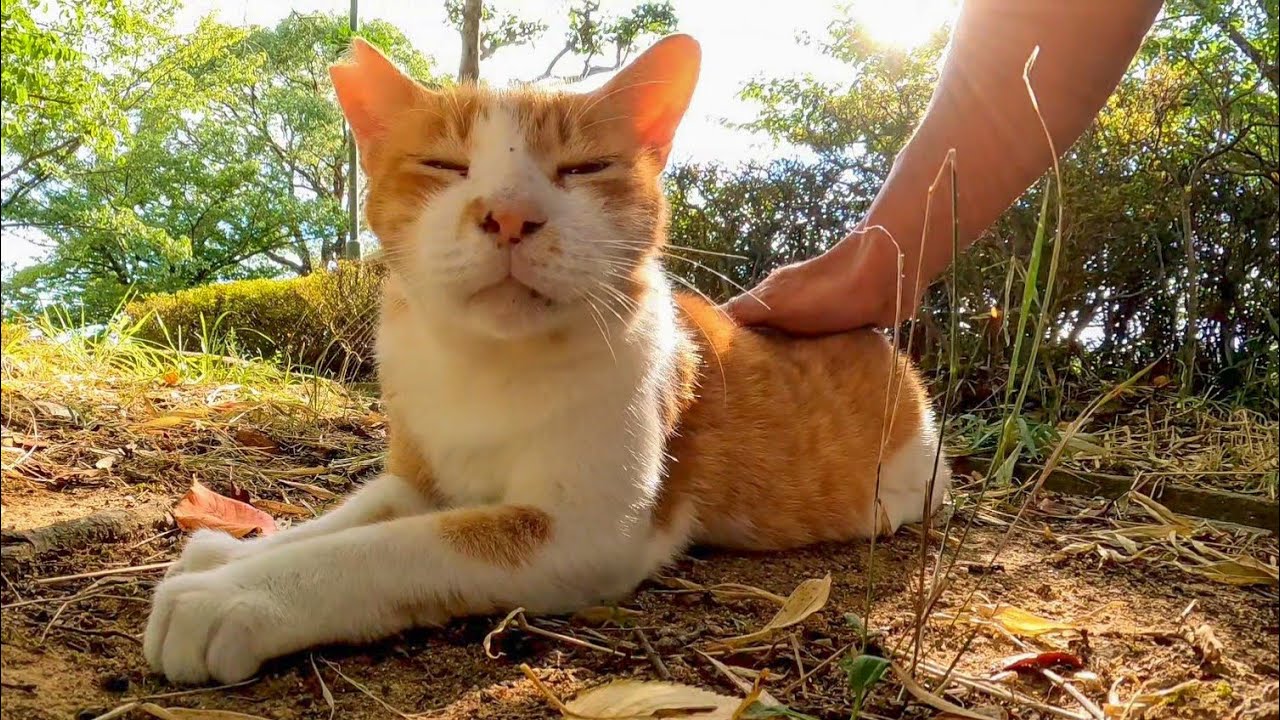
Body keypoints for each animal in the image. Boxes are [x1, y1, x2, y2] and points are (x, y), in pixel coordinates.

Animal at [142, 33, 952, 681]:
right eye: (444, 163)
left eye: (583, 168)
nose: (508, 214)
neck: (485, 366)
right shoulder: (419, 475)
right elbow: (358, 514)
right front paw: (234, 555)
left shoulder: (584, 532)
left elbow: (391, 546)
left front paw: (233, 595)